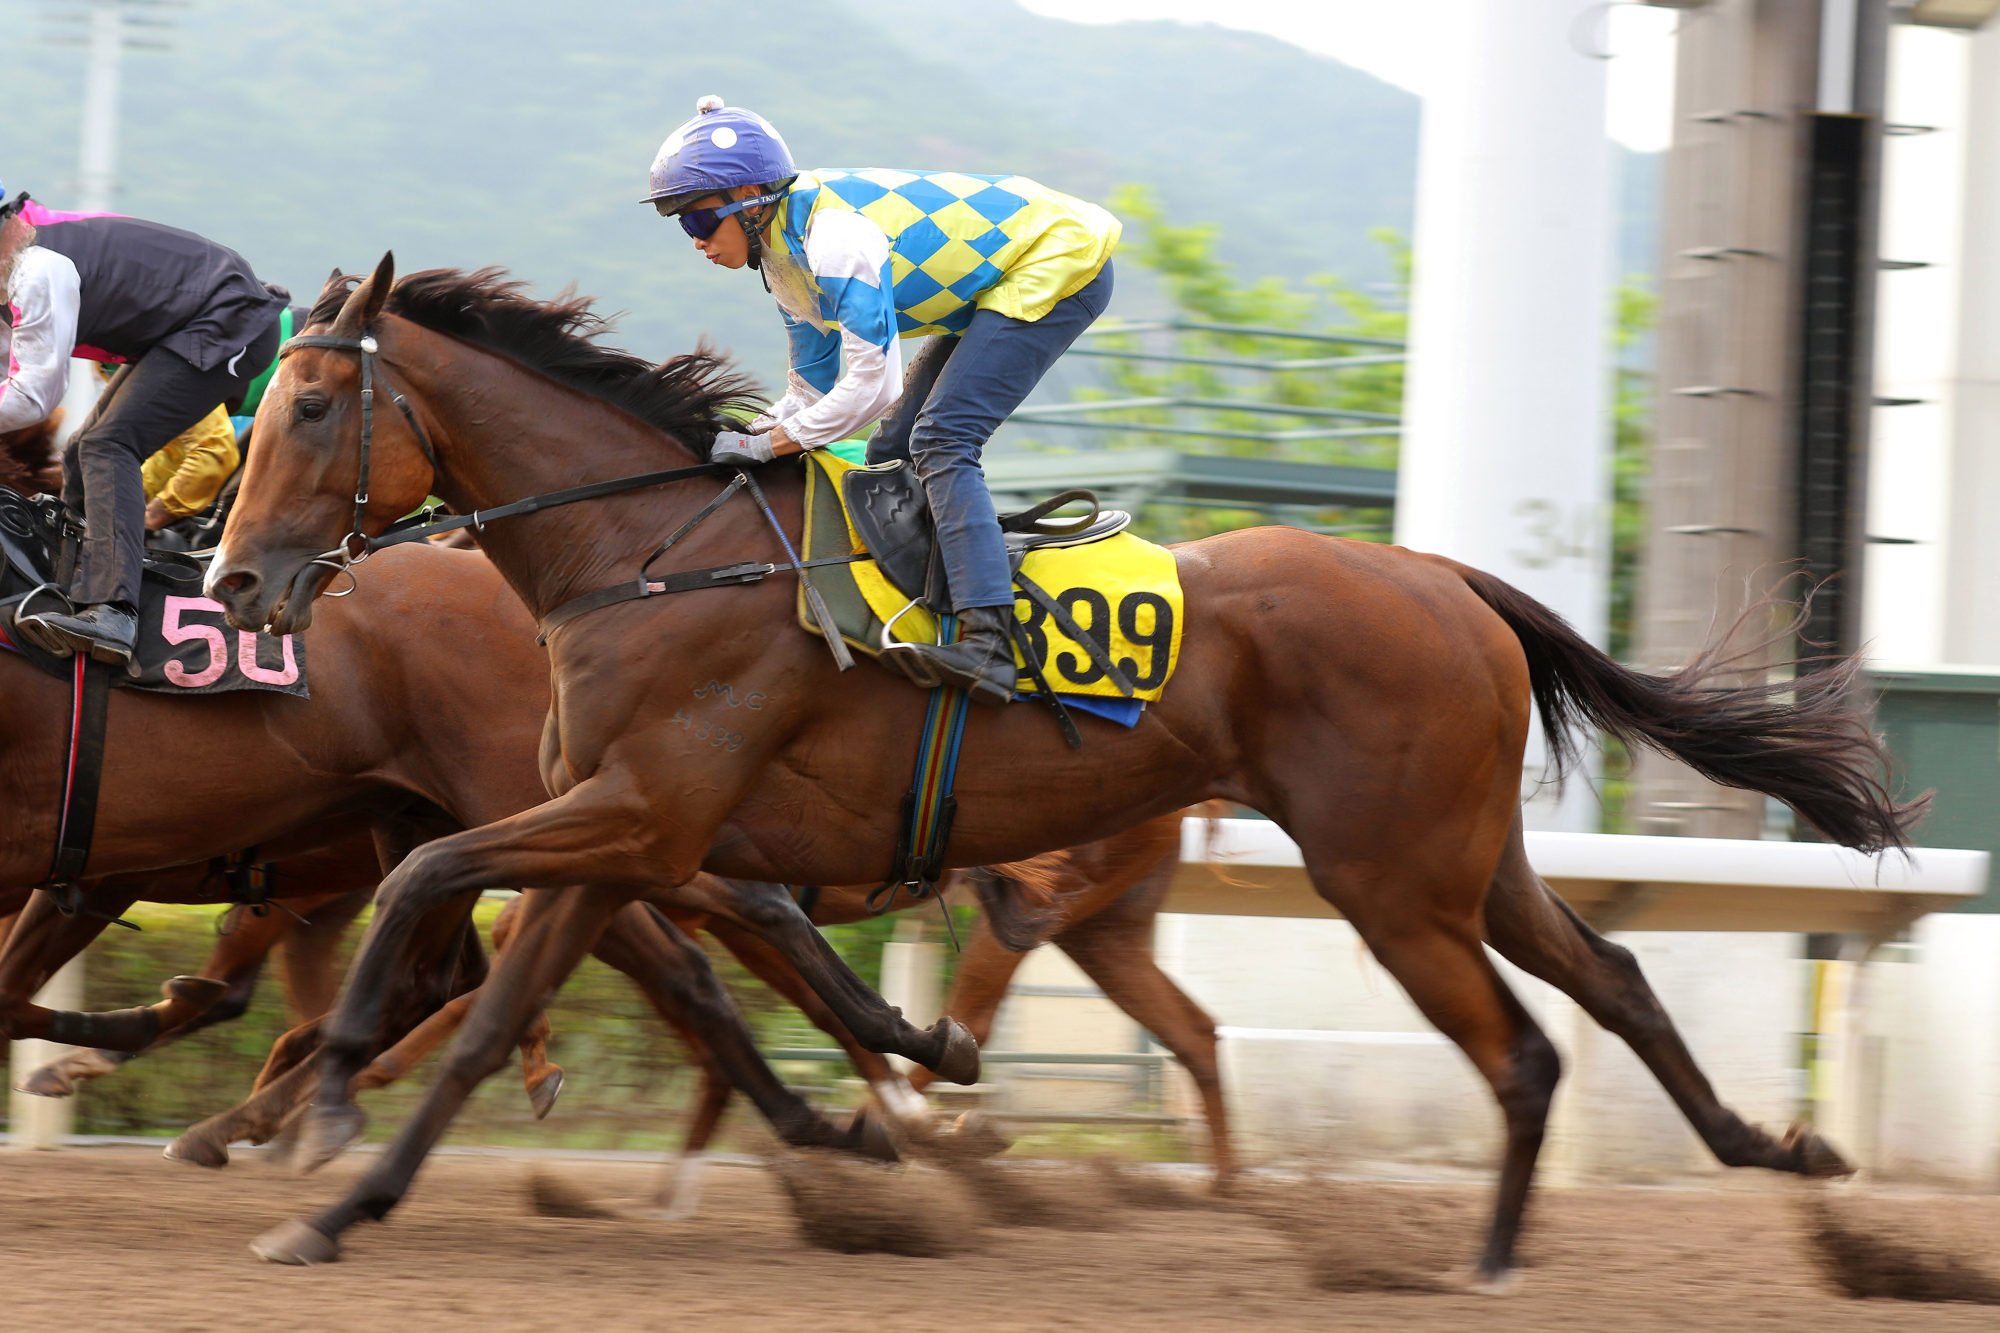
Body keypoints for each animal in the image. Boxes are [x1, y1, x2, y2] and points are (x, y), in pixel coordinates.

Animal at [207, 252, 1920, 1280]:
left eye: (313, 403)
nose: (234, 581)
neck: (652, 556)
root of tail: (1444, 577)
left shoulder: (636, 814)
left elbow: (429, 876)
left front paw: (328, 1097)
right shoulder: (627, 836)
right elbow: (496, 1013)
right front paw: (340, 1204)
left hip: (1390, 881)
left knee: (1520, 1052)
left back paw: (1495, 1259)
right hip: (1460, 860)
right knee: (1613, 979)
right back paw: (1775, 1147)